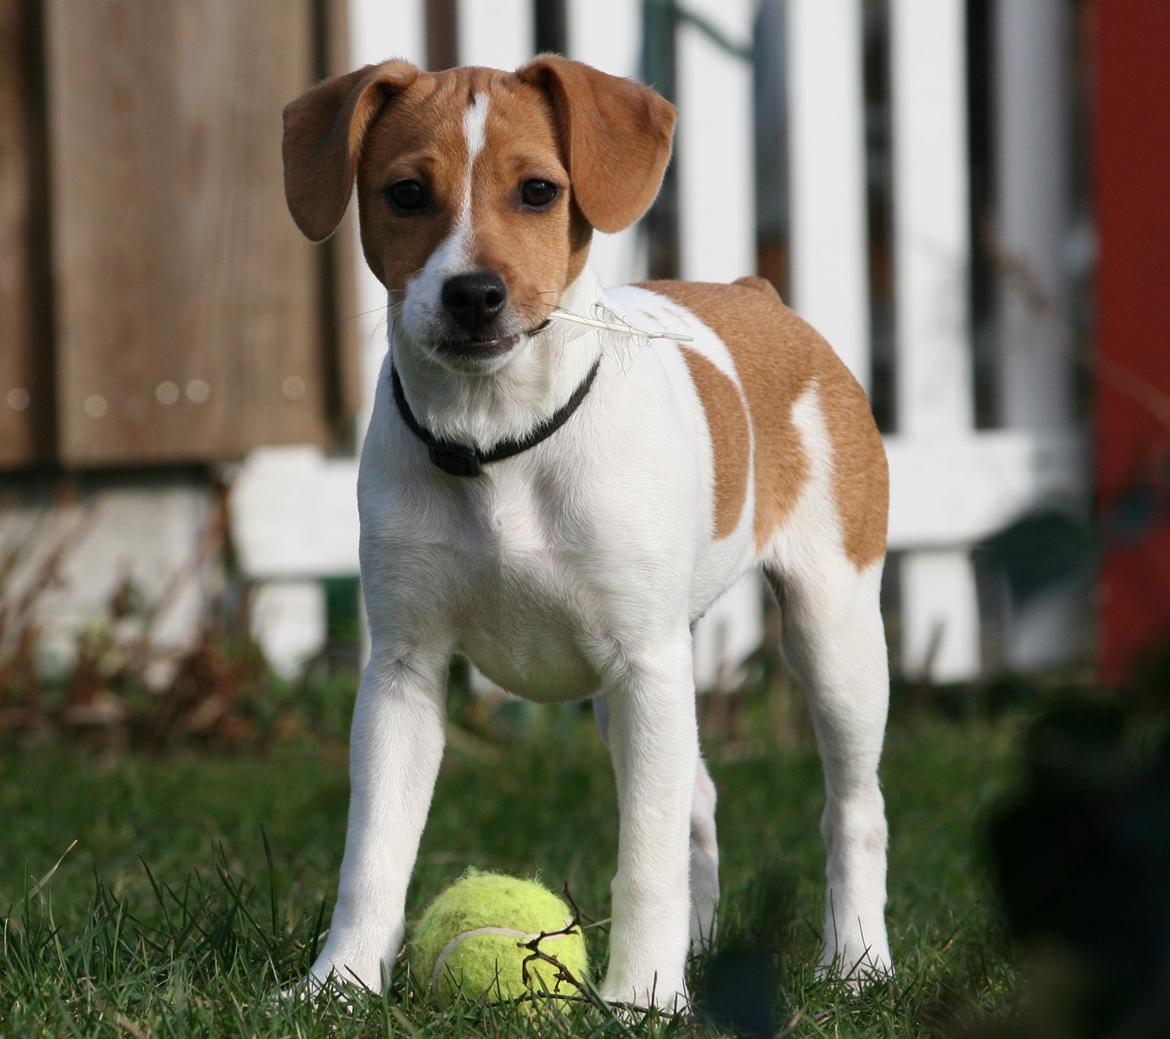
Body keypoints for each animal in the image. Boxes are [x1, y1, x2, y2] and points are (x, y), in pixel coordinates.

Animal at [280, 54, 884, 1006]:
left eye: (538, 191)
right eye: (406, 193)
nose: (474, 293)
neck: (497, 441)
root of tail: (758, 295)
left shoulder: (646, 663)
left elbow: (645, 860)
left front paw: (642, 998)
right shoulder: (404, 672)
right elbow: (372, 851)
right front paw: (337, 985)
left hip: (834, 632)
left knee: (852, 807)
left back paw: (856, 962)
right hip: (639, 686)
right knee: (697, 800)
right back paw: (702, 950)